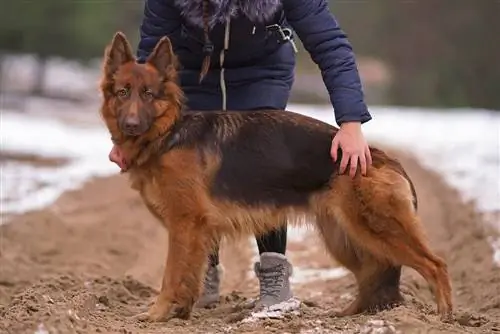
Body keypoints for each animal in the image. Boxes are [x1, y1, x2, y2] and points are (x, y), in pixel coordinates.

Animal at [97, 32, 454, 324]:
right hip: (344, 237)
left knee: (435, 265)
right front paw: (180, 312)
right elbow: (191, 275)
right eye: (123, 92)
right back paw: (350, 314)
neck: (169, 133)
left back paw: (443, 317)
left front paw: (157, 314)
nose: (130, 125)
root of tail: (382, 158)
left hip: (376, 231)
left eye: (148, 94)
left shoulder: (185, 226)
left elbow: (171, 276)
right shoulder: (196, 232)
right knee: (373, 273)